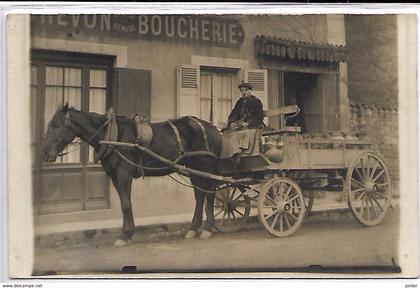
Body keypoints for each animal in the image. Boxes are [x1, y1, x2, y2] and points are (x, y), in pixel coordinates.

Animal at [41, 103, 223, 245]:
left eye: (56, 125)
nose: (44, 153)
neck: (112, 135)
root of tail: (213, 127)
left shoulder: (124, 173)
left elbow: (126, 204)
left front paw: (125, 234)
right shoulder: (114, 175)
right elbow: (125, 202)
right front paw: (128, 232)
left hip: (206, 166)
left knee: (210, 193)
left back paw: (208, 228)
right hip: (194, 167)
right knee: (200, 195)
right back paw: (193, 228)